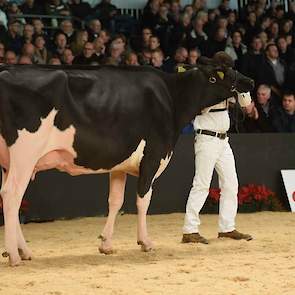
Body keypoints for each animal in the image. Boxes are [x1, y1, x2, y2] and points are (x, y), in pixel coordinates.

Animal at [0, 52, 254, 268]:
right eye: (217, 75)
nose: (250, 82)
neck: (171, 98)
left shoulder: (119, 164)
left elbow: (115, 201)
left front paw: (106, 244)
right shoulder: (152, 157)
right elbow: (143, 200)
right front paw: (145, 242)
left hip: (8, 162)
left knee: (9, 197)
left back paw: (23, 251)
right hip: (25, 154)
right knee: (12, 195)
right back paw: (14, 255)